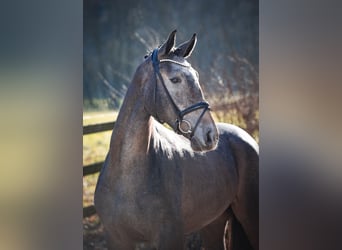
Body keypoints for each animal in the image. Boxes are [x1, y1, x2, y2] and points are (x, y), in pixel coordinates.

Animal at [95, 30, 258, 249]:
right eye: (175, 80)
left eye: (196, 77)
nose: (211, 136)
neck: (126, 177)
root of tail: (245, 136)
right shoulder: (116, 239)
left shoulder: (170, 238)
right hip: (213, 223)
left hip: (250, 217)